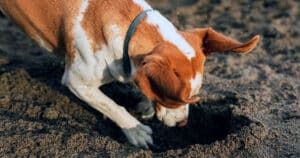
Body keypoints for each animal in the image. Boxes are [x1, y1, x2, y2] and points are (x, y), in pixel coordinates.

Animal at [0, 0, 260, 148]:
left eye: (196, 95)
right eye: (179, 99)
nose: (183, 123)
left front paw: (145, 104)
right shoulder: (77, 82)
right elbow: (111, 105)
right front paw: (136, 131)